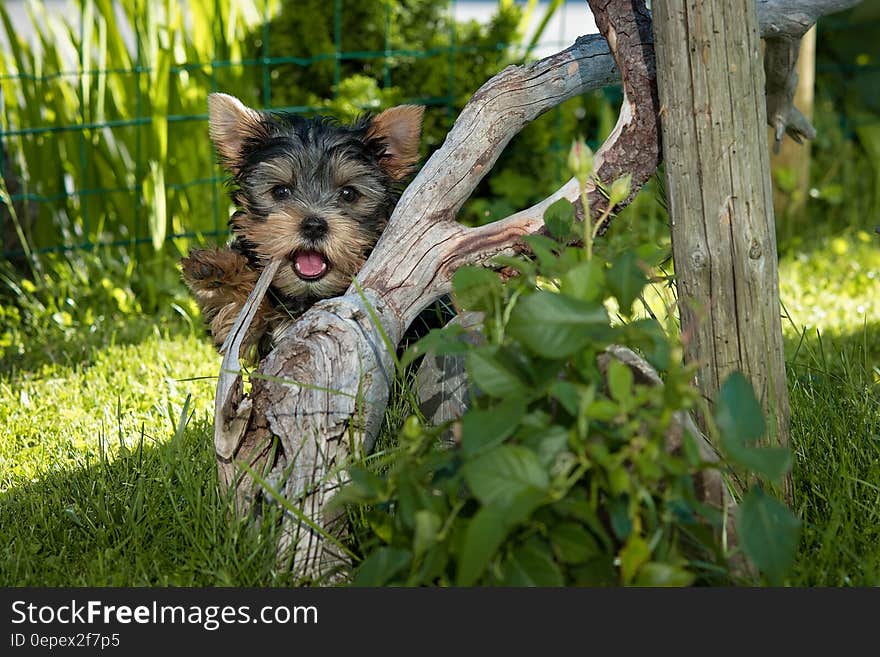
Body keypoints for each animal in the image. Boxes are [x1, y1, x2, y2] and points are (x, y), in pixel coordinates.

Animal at [180, 93, 422, 354]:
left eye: (348, 194)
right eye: (280, 191)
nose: (314, 225)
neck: (307, 295)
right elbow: (240, 321)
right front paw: (220, 271)